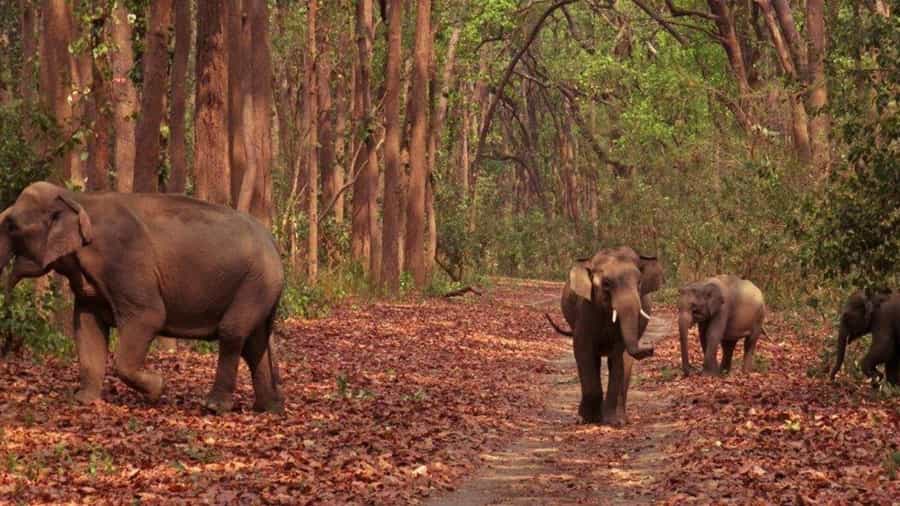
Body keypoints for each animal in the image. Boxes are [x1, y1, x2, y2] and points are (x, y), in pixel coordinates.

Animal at [0, 184, 284, 414]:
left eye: (12, 226)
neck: (78, 199)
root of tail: (272, 240)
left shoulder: (124, 260)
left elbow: (149, 316)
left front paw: (158, 389)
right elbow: (86, 326)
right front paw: (83, 400)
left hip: (256, 283)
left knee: (232, 332)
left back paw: (214, 407)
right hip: (260, 287)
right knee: (254, 343)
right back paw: (268, 408)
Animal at [544, 247, 664, 424]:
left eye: (639, 283)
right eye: (606, 284)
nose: (650, 348)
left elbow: (617, 357)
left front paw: (613, 422)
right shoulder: (585, 311)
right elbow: (583, 351)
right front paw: (587, 419)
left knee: (624, 364)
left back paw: (621, 418)